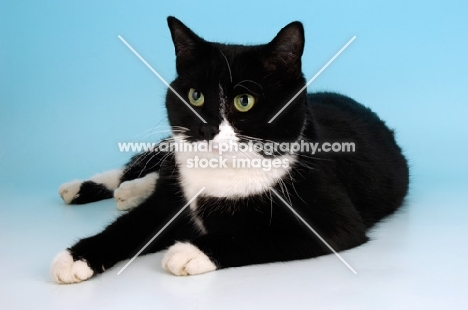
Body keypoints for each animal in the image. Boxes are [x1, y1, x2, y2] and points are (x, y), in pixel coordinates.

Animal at [52, 16, 410, 284]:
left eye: (244, 101)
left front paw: (188, 251)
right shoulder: (167, 201)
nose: (207, 128)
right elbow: (127, 228)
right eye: (195, 96)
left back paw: (128, 193)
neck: (221, 169)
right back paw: (87, 188)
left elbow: (254, 235)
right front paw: (74, 258)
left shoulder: (333, 221)